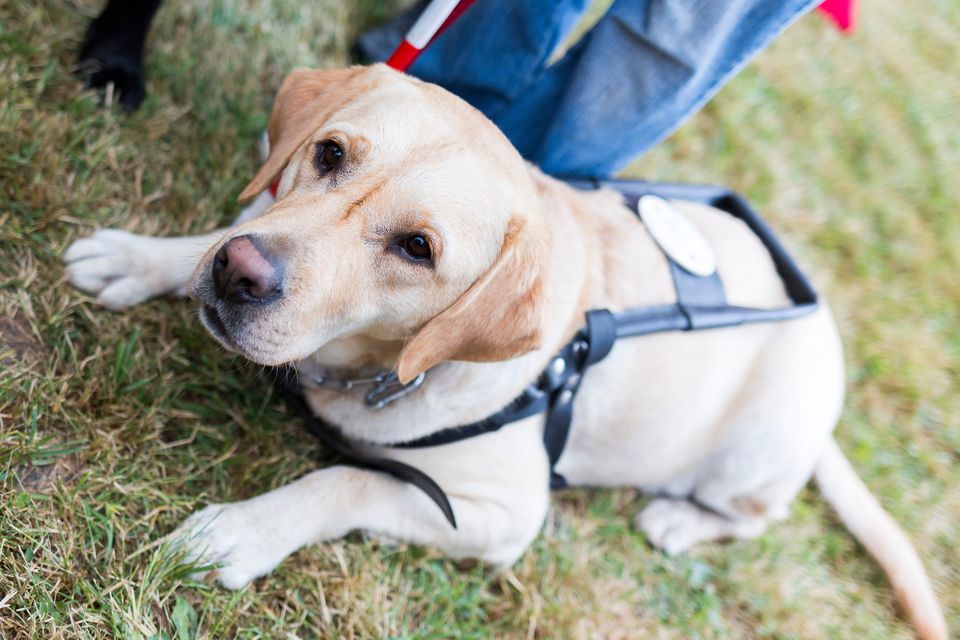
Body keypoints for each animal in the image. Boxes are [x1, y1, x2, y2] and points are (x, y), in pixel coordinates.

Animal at [63, 63, 948, 636]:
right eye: (329, 153)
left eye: (418, 248)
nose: (241, 275)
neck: (374, 369)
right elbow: (224, 227)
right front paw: (145, 258)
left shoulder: (498, 515)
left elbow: (343, 480)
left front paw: (240, 532)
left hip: (755, 454)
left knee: (753, 515)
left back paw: (680, 520)